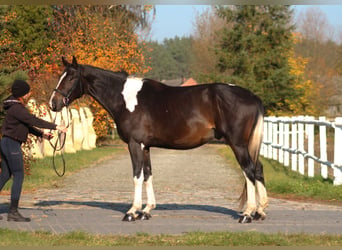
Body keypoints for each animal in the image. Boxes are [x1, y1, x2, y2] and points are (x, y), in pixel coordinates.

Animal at [48, 56, 268, 223]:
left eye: (71, 78)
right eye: (60, 76)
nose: (53, 103)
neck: (126, 99)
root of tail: (252, 97)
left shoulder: (134, 144)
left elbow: (137, 175)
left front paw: (132, 212)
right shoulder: (145, 146)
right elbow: (148, 174)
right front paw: (146, 211)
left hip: (238, 144)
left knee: (249, 171)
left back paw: (247, 214)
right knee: (257, 169)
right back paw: (260, 211)